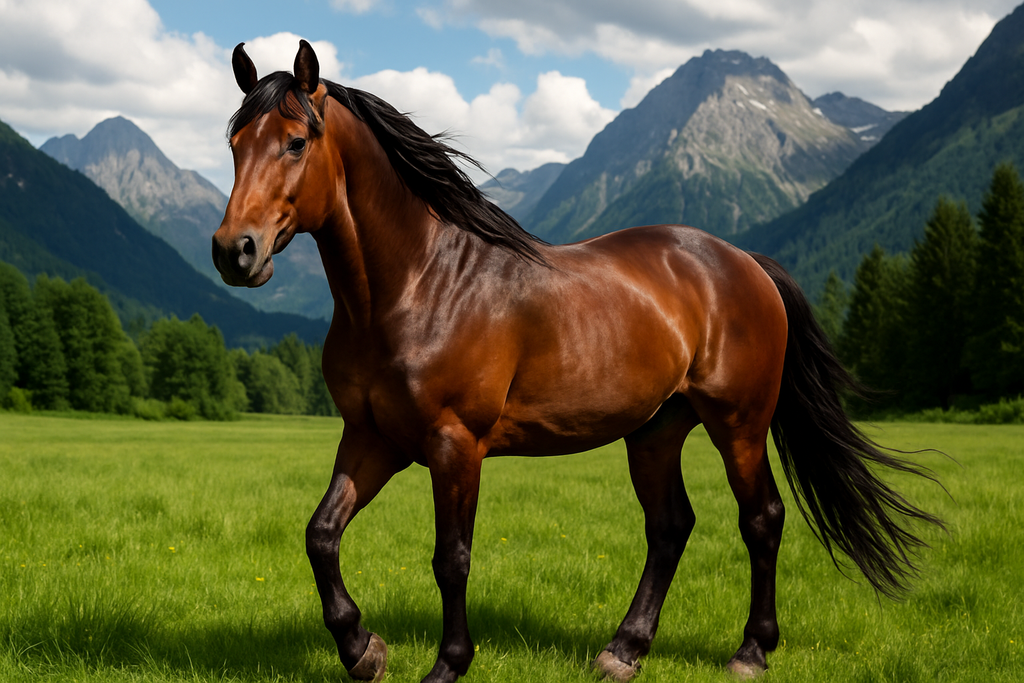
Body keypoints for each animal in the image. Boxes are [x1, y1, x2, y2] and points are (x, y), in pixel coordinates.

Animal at [212, 40, 941, 683]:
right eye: (234, 144)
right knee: (670, 527)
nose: (234, 251)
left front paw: (448, 664)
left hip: (739, 424)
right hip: (656, 431)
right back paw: (625, 650)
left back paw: (750, 652)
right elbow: (321, 534)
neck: (421, 283)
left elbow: (452, 558)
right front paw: (362, 648)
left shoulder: (455, 444)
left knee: (761, 518)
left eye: (295, 142)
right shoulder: (373, 439)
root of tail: (745, 262)